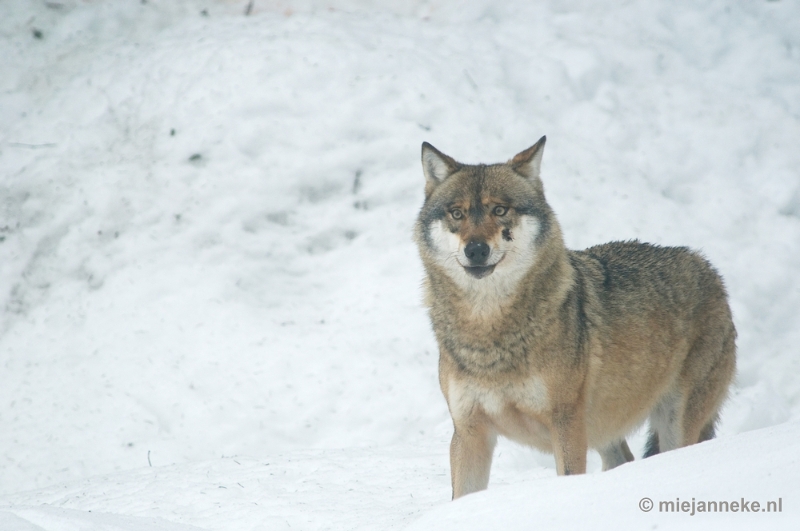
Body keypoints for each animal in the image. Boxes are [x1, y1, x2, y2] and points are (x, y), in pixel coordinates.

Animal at [416, 136, 736, 498]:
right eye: (457, 213)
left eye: (499, 210)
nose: (476, 250)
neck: (488, 330)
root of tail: (708, 269)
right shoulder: (469, 432)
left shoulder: (566, 424)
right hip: (603, 431)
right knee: (624, 459)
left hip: (672, 425)